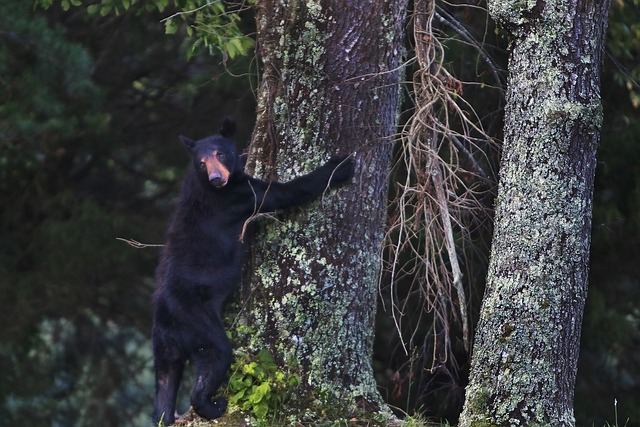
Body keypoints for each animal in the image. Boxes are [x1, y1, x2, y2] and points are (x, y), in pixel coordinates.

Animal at [153, 118, 358, 426]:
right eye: (201, 162)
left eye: (220, 153)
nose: (216, 178)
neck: (207, 185)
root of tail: (165, 314)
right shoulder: (236, 197)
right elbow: (282, 193)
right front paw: (340, 165)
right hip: (195, 319)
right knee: (215, 355)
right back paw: (212, 404)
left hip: (163, 345)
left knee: (164, 382)